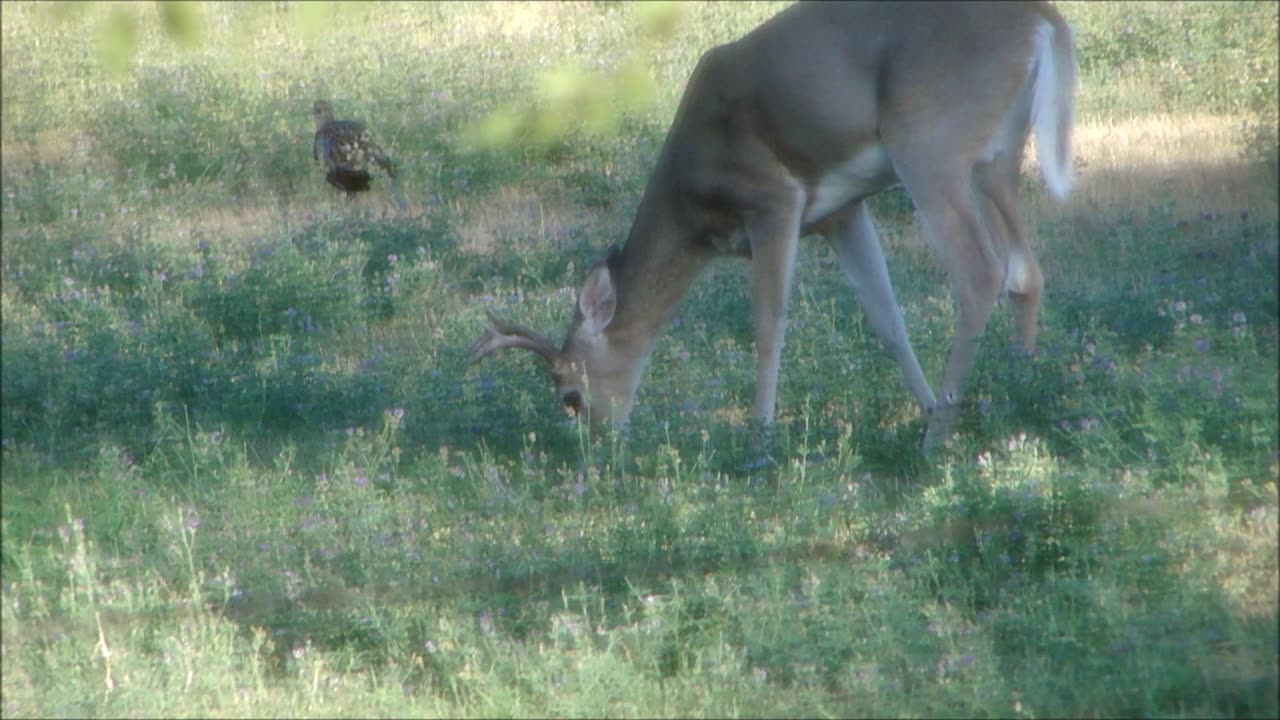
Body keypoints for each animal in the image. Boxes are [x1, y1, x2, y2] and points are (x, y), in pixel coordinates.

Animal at [471, 1, 1070, 448]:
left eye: (569, 396)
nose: (601, 447)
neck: (693, 203)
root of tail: (1042, 19)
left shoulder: (773, 199)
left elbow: (767, 325)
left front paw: (760, 439)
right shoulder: (841, 212)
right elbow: (887, 320)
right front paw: (920, 406)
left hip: (929, 144)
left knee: (981, 274)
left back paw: (940, 437)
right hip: (998, 153)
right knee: (1026, 271)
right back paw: (1020, 394)